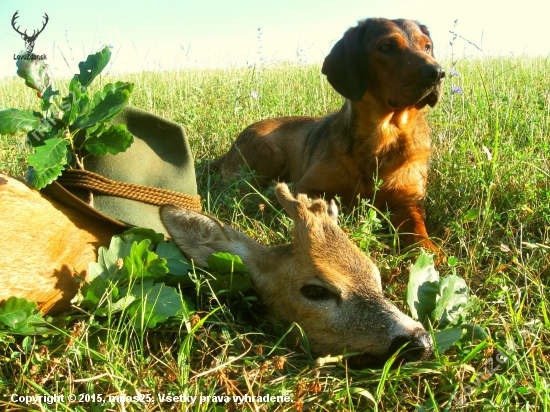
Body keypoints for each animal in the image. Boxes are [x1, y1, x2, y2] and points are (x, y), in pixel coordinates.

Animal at [213, 17, 446, 251]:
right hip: (270, 154)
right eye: (386, 47)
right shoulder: (308, 187)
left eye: (427, 46)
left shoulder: (409, 201)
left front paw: (429, 251)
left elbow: (417, 230)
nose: (437, 73)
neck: (384, 135)